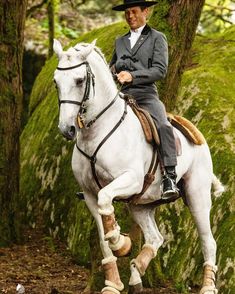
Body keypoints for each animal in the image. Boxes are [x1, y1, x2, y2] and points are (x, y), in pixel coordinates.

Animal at [52, 39, 224, 294]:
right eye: (56, 82)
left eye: (80, 80)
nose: (67, 129)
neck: (98, 131)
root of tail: (196, 133)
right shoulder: (90, 194)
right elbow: (103, 235)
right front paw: (113, 282)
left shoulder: (129, 179)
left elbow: (106, 200)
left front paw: (120, 242)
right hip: (141, 204)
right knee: (155, 238)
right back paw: (136, 272)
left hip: (197, 197)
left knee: (208, 241)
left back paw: (207, 287)